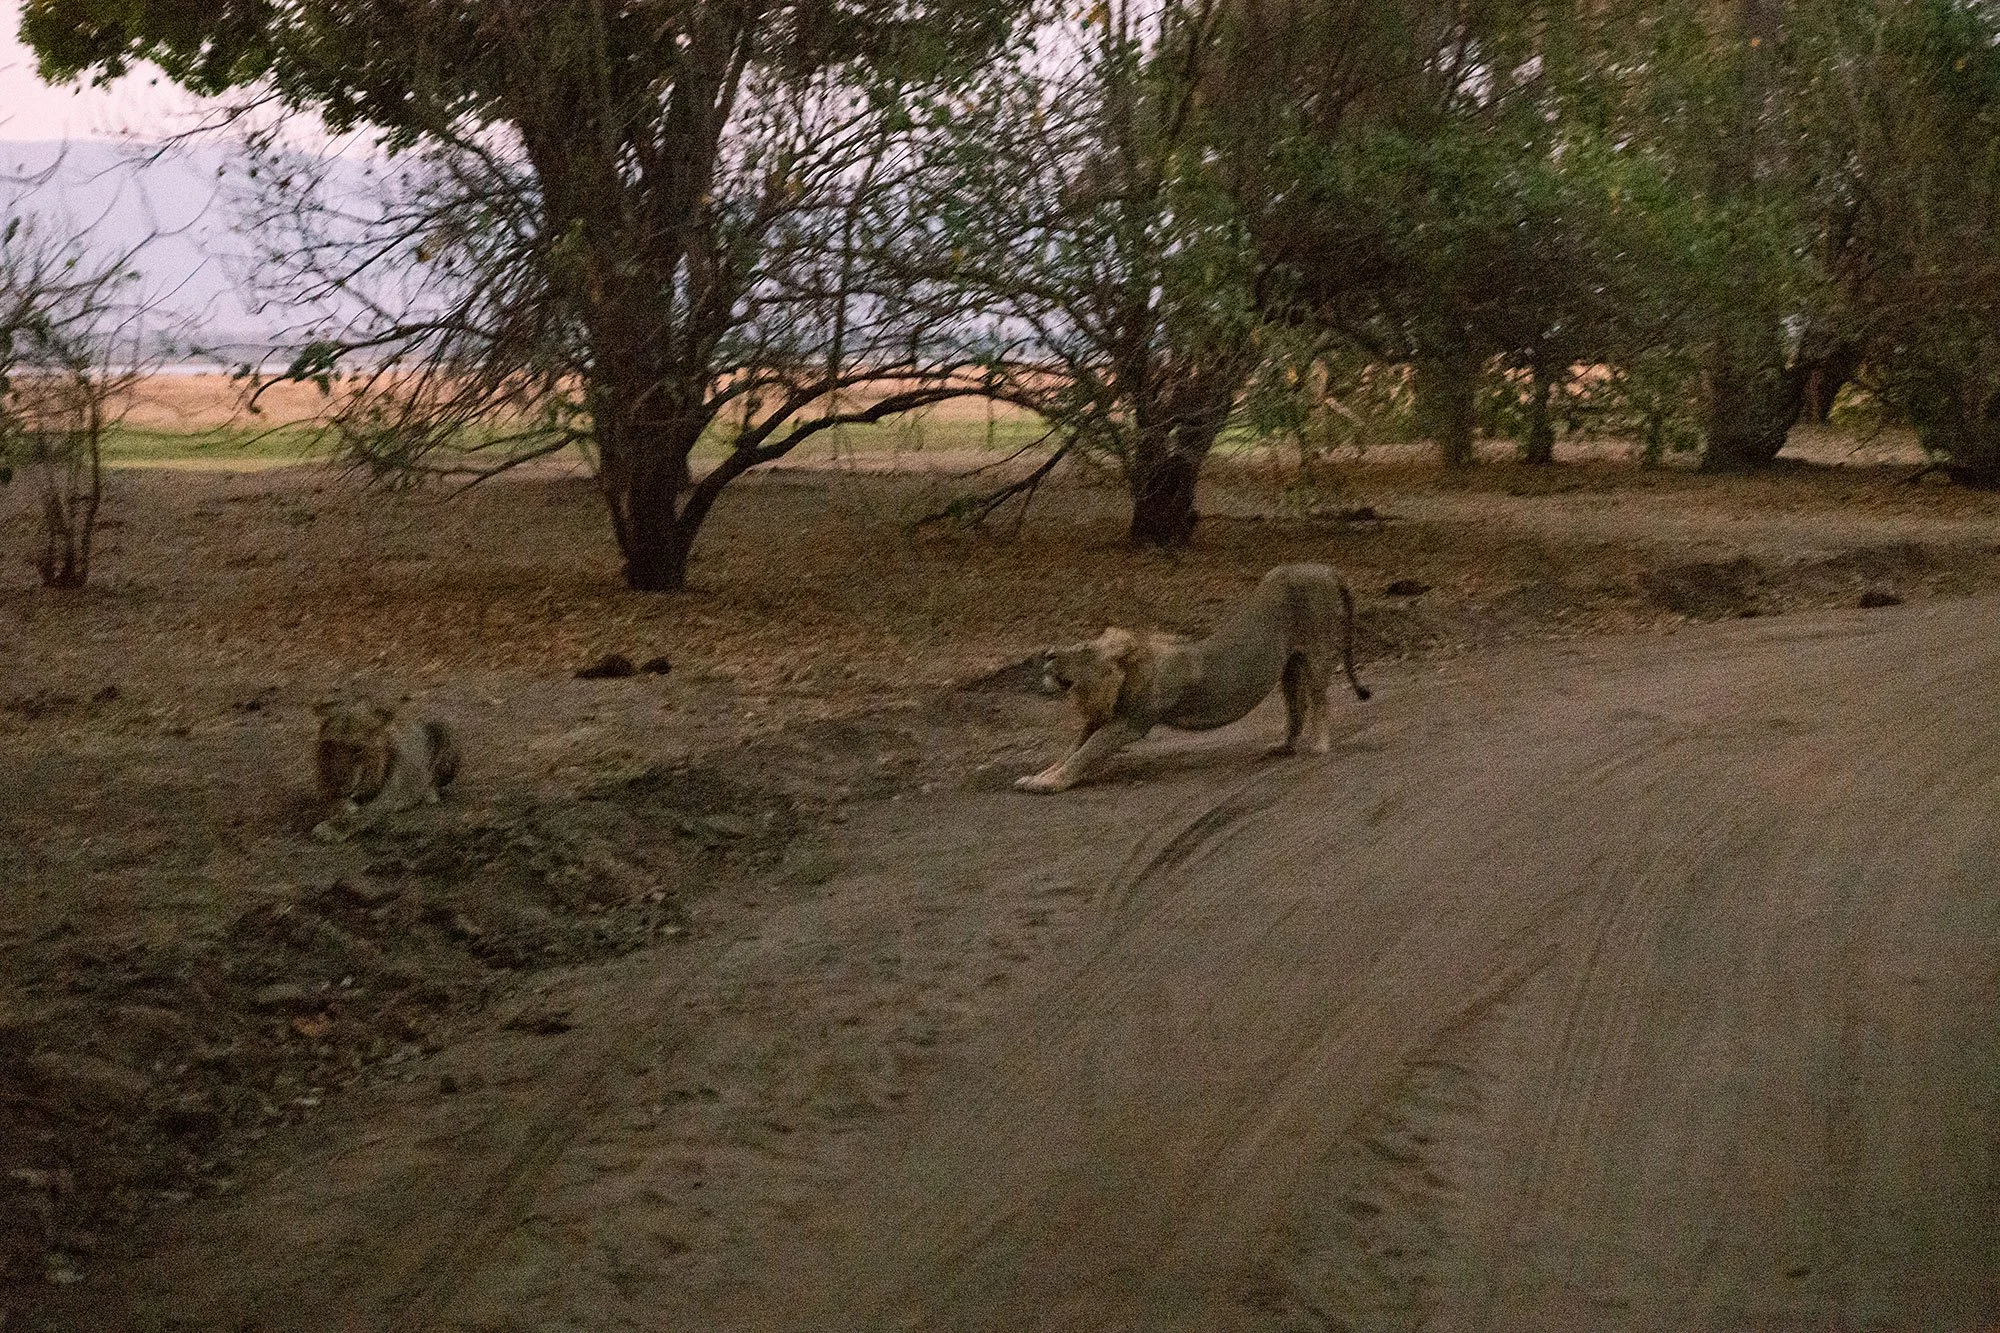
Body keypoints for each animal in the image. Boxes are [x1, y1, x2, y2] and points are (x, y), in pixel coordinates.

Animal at [311, 696, 462, 843]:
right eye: (330, 745)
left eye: (358, 749)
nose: (337, 781)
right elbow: (336, 804)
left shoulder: (384, 801)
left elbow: (360, 815)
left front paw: (332, 828)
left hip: (445, 733)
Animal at [1015, 563, 1372, 794]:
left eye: (1084, 649)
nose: (1048, 654)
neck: (1125, 676)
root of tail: (1326, 569)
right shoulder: (1101, 719)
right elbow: (1070, 751)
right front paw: (1037, 777)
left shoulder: (1130, 723)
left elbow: (1085, 753)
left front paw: (1050, 784)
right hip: (1289, 664)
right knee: (1296, 707)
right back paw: (1283, 747)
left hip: (1315, 650)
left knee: (1320, 699)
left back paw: (1320, 746)